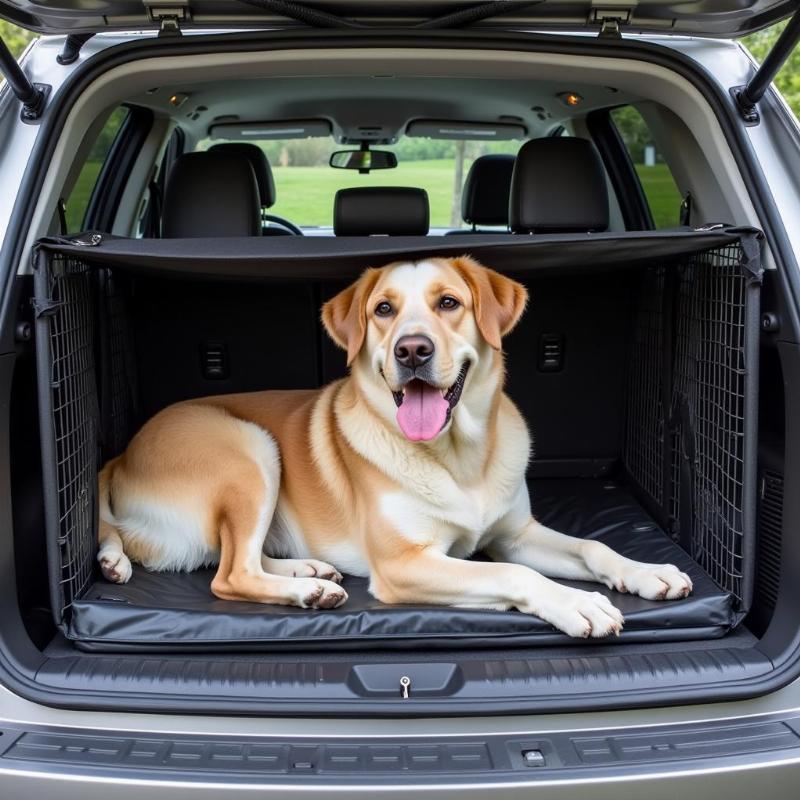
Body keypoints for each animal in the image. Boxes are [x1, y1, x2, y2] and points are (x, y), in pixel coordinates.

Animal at [97, 256, 692, 636]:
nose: (412, 350)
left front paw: (646, 571)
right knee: (230, 574)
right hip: (249, 450)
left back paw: (309, 572)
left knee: (240, 557)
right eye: (383, 310)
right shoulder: (407, 563)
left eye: (449, 302)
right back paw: (305, 591)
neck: (459, 457)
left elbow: (591, 547)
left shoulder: (515, 535)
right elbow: (514, 574)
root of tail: (121, 455)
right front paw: (576, 603)